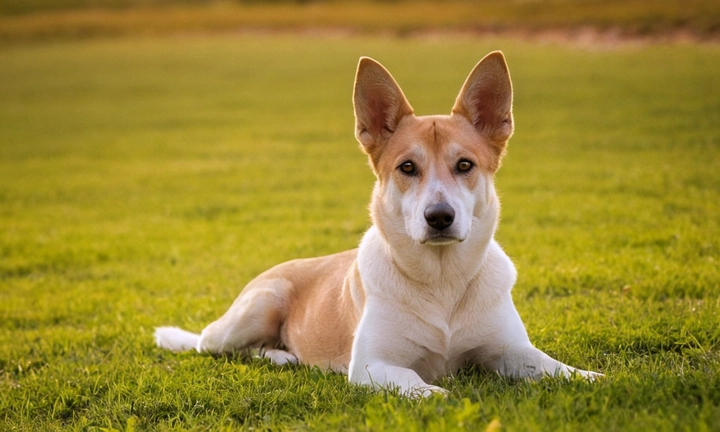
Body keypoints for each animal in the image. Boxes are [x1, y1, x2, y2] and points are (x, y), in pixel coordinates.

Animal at [155, 52, 600, 396]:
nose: (440, 217)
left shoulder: (510, 351)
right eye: (407, 167)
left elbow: (551, 366)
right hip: (257, 309)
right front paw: (436, 393)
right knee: (210, 345)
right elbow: (414, 381)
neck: (441, 280)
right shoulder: (372, 364)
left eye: (465, 165)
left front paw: (590, 376)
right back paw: (278, 354)